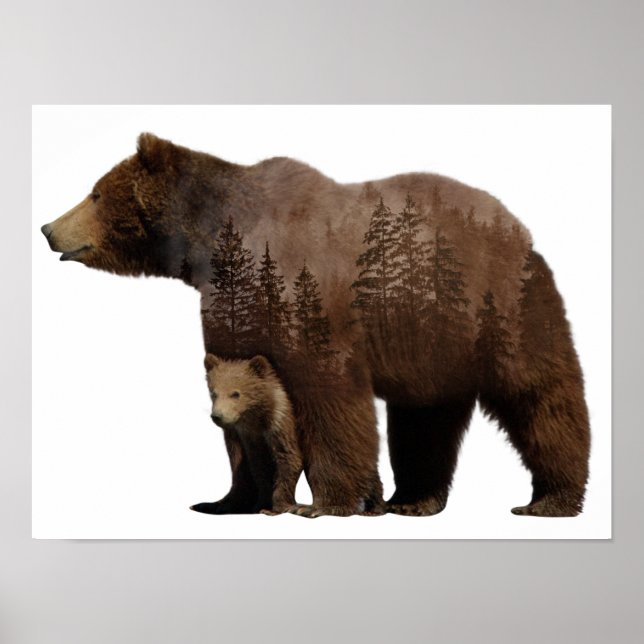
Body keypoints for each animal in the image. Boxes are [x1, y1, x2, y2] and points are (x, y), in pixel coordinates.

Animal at [192, 353, 304, 516]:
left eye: (235, 393)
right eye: (214, 393)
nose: (217, 416)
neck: (257, 419)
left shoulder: (279, 427)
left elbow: (289, 459)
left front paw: (274, 508)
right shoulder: (251, 438)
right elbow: (259, 467)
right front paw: (259, 504)